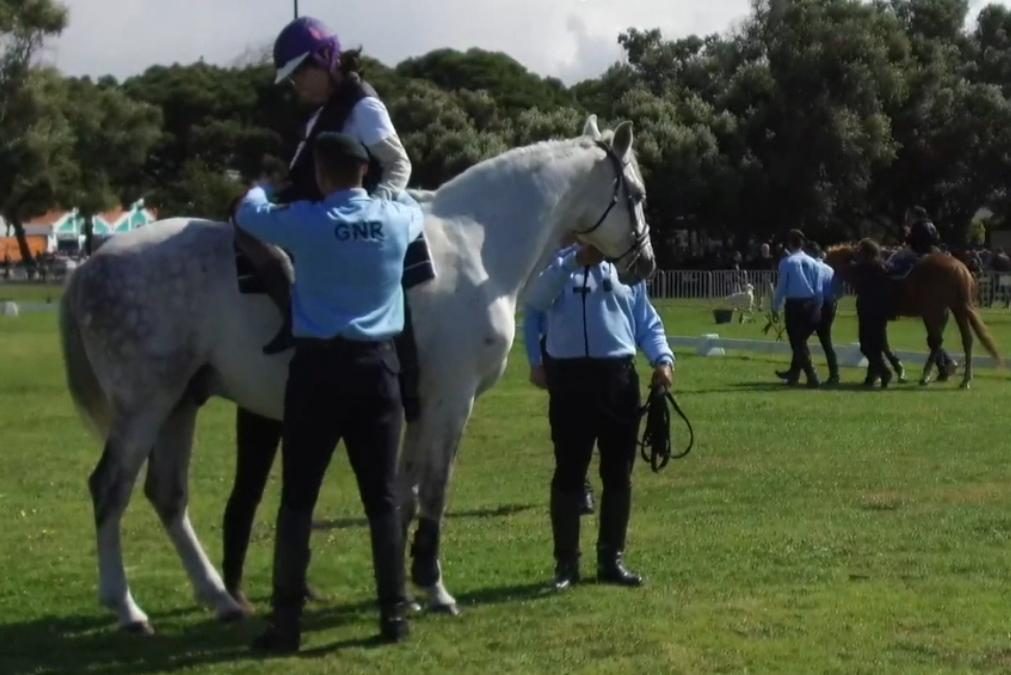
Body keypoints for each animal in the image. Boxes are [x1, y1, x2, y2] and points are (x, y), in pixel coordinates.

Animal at [824, 245, 998, 388]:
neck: (868, 274)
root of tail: (960, 268)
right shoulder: (878, 318)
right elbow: (881, 344)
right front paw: (887, 373)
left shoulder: (873, 316)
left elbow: (876, 344)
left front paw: (889, 373)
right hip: (956, 309)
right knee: (965, 340)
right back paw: (964, 379)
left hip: (934, 311)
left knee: (937, 341)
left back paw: (927, 375)